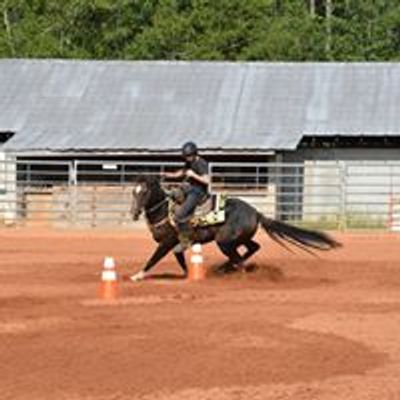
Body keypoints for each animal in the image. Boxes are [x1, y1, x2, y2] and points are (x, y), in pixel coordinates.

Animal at [130, 175, 342, 282]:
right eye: (134, 191)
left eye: (145, 192)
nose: (133, 213)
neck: (164, 212)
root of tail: (256, 212)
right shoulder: (174, 245)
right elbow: (181, 261)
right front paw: (188, 275)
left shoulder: (167, 243)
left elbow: (153, 259)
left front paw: (137, 276)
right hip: (239, 239)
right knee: (252, 249)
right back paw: (225, 268)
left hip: (224, 242)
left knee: (239, 259)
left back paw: (234, 272)